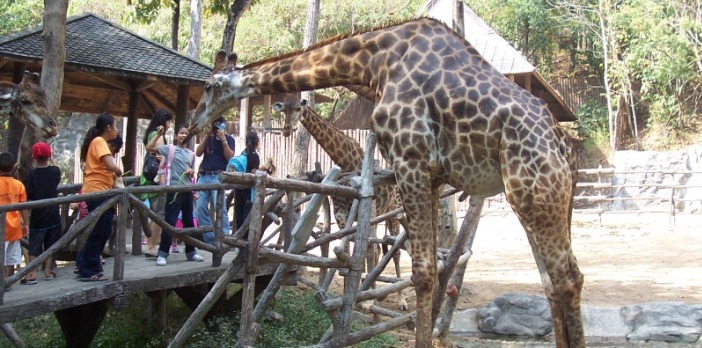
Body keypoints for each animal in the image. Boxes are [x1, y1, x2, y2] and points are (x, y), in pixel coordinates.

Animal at [272, 95, 410, 310]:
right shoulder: (341, 215)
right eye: (283, 109)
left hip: (395, 211)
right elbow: (346, 253)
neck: (345, 160)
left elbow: (365, 251)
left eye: (298, 109)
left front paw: (366, 301)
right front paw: (349, 297)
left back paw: (400, 300)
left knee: (390, 250)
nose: (286, 129)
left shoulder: (366, 209)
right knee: (380, 248)